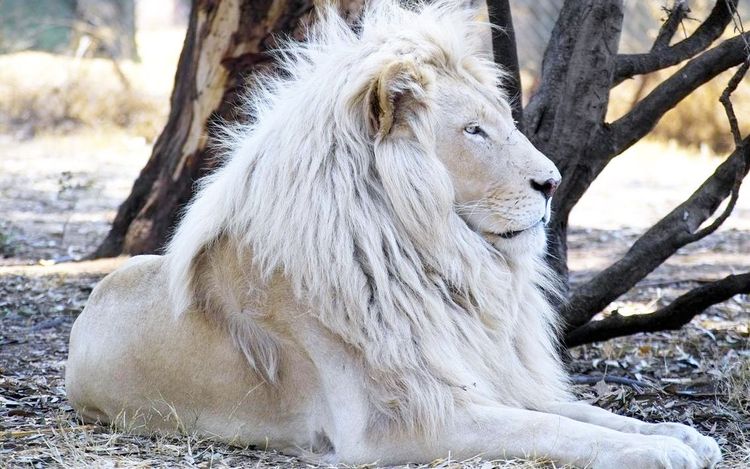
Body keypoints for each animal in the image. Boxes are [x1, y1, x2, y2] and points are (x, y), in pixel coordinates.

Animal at [66, 2, 721, 467]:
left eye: (503, 123)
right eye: (474, 131)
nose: (552, 182)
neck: (440, 264)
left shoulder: (485, 376)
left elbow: (580, 412)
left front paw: (680, 434)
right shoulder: (395, 422)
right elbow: (549, 427)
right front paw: (657, 451)